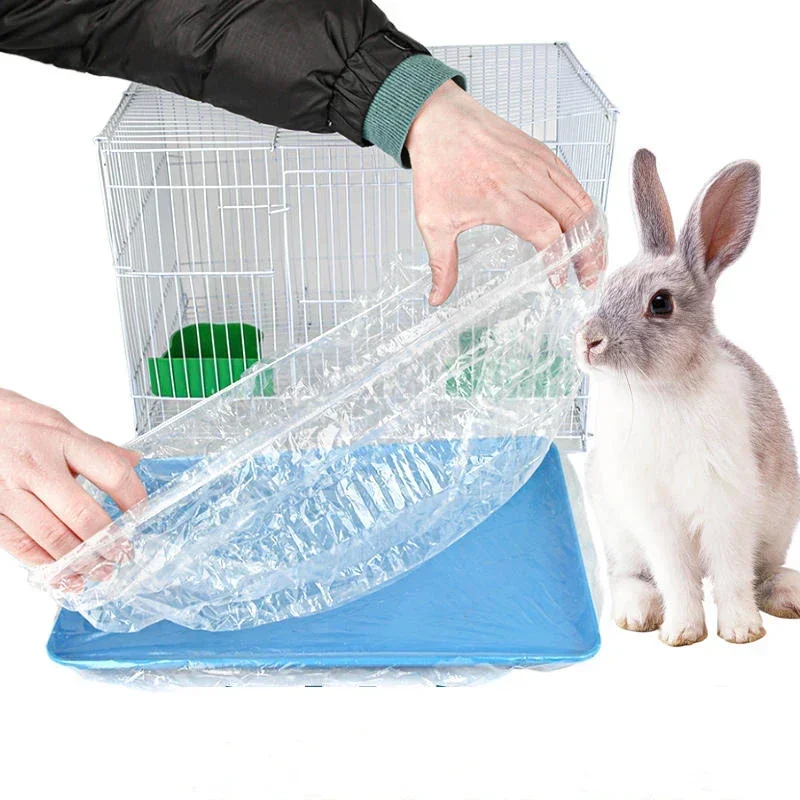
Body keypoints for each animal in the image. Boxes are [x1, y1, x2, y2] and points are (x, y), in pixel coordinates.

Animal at [576, 149, 800, 646]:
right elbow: (675, 575)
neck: (664, 390)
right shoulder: (655, 516)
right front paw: (681, 633)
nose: (587, 341)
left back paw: (788, 596)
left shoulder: (728, 503)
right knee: (628, 576)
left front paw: (741, 632)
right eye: (607, 287)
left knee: (761, 572)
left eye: (661, 303)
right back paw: (637, 614)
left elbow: (733, 573)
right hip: (620, 535)